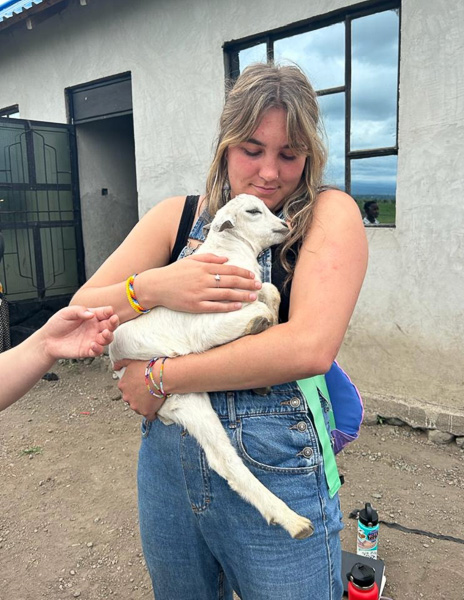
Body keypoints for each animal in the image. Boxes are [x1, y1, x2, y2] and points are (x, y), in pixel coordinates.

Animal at [111, 195, 316, 540]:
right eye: (253, 211)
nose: (285, 225)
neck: (231, 253)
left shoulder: (251, 289)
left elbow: (269, 292)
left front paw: (269, 325)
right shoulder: (207, 325)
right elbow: (260, 308)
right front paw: (262, 325)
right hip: (187, 401)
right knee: (224, 460)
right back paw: (293, 520)